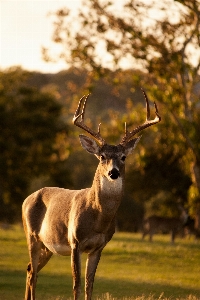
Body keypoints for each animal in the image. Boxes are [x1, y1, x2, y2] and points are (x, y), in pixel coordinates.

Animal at [21, 89, 160, 300]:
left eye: (123, 157)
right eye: (102, 156)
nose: (113, 172)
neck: (98, 219)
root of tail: (26, 199)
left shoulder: (98, 247)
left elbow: (89, 285)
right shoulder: (75, 242)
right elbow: (76, 285)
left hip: (47, 245)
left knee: (30, 270)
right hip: (31, 236)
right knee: (33, 273)